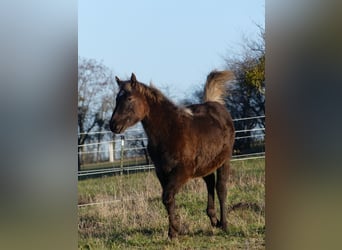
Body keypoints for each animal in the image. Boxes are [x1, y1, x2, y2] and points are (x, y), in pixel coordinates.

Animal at [109, 71, 235, 238]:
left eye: (129, 99)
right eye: (117, 99)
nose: (113, 125)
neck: (169, 131)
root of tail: (216, 105)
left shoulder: (183, 171)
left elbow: (167, 197)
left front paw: (175, 229)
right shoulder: (162, 172)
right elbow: (168, 199)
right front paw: (174, 231)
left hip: (224, 160)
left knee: (221, 188)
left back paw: (225, 225)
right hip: (205, 163)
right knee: (209, 183)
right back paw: (214, 220)